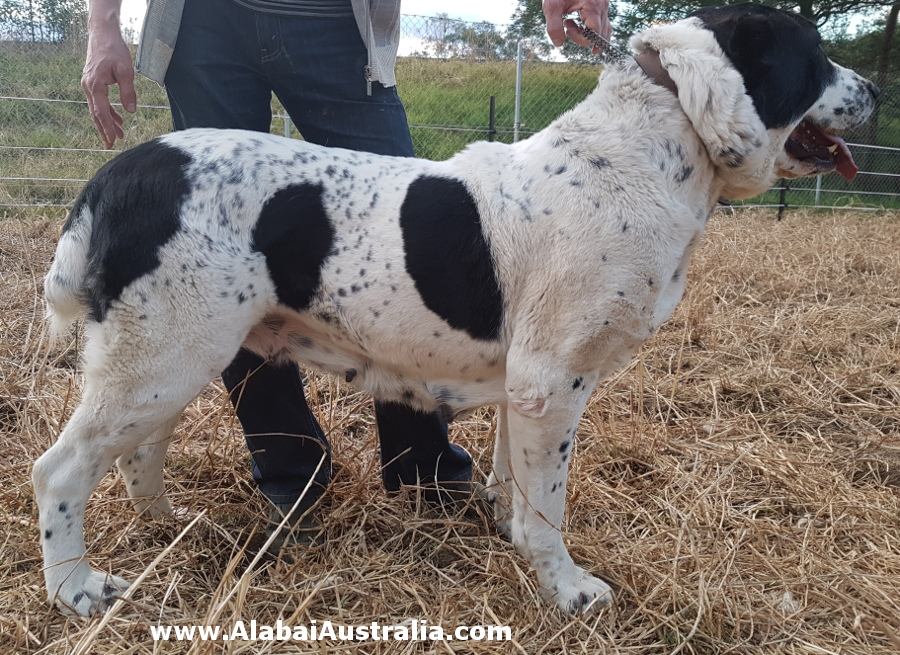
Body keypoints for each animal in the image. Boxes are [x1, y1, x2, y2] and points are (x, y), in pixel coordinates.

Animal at [33, 3, 872, 616]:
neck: (652, 148)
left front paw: (507, 529)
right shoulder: (553, 380)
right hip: (162, 357)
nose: (873, 90)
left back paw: (172, 526)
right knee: (60, 471)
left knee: (136, 451)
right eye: (815, 55)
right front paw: (567, 588)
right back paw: (78, 588)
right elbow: (547, 508)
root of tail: (123, 168)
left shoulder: (524, 385)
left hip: (169, 359)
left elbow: (516, 482)